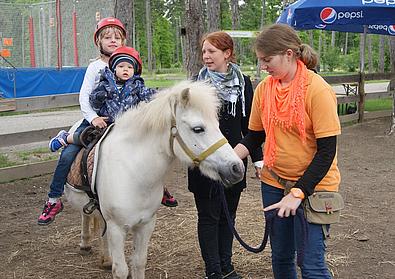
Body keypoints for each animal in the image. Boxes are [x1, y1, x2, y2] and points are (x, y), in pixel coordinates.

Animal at [64, 81, 244, 279]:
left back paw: (105, 259)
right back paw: (85, 244)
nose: (237, 168)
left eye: (217, 125)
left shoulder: (146, 224)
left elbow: (138, 263)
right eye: (198, 129)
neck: (134, 174)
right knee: (85, 215)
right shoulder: (117, 228)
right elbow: (121, 270)